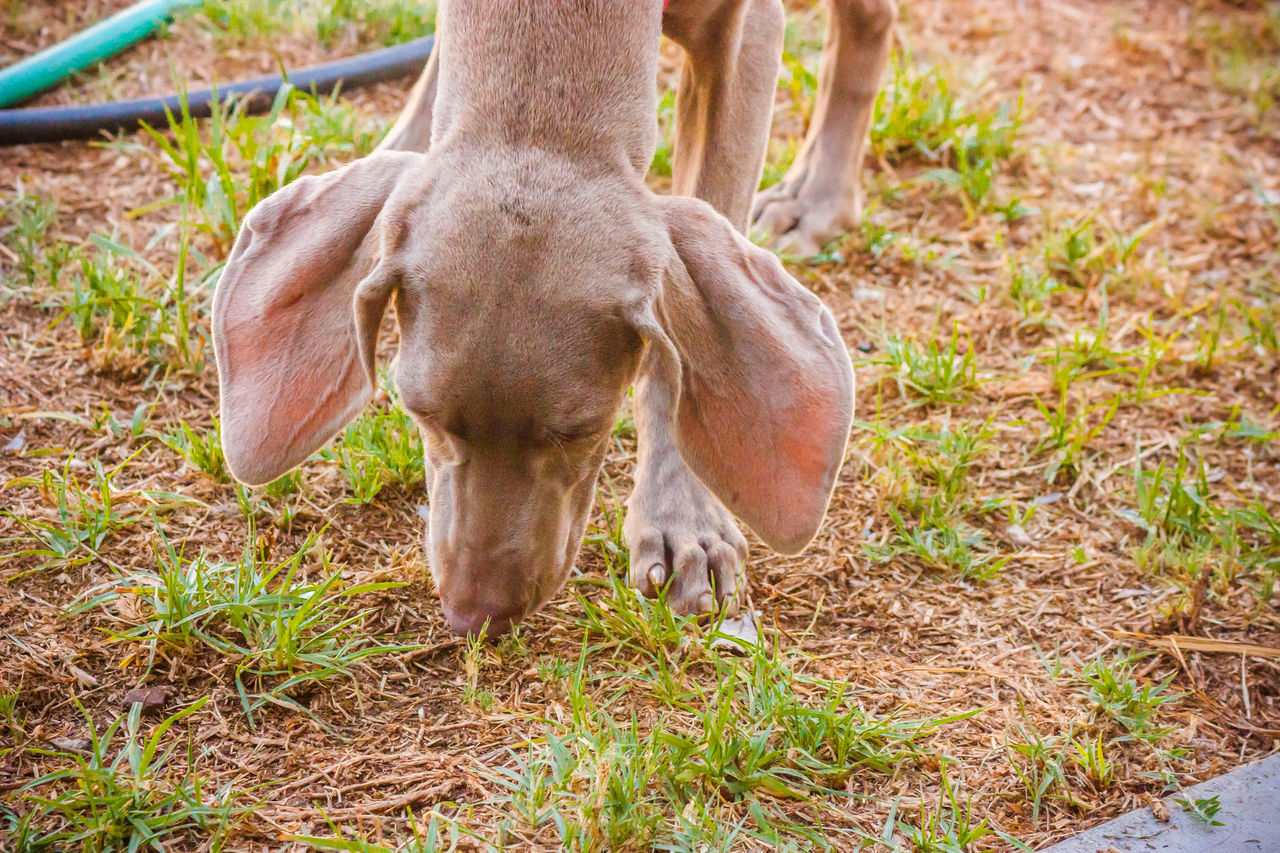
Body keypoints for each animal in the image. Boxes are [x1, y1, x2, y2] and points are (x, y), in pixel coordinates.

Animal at [212, 0, 890, 635]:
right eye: (420, 413)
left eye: (582, 431)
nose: (474, 618)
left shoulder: (747, 35)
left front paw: (684, 522)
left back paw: (818, 197)